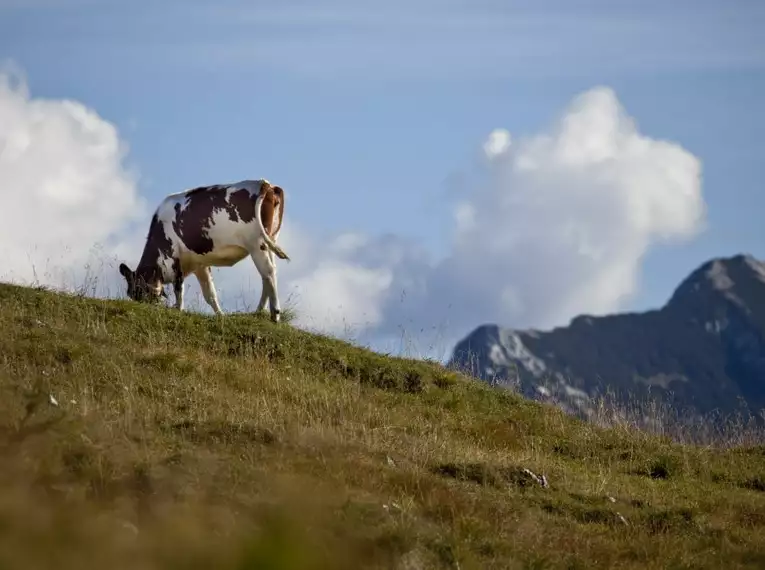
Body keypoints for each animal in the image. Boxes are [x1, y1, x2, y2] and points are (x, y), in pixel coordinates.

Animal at [119, 179, 290, 320]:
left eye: (138, 291)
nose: (144, 308)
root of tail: (265, 184)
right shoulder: (199, 264)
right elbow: (210, 294)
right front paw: (221, 316)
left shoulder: (175, 259)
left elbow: (178, 289)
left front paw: (178, 310)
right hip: (270, 240)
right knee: (268, 275)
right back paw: (259, 311)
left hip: (256, 243)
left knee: (268, 272)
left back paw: (274, 314)